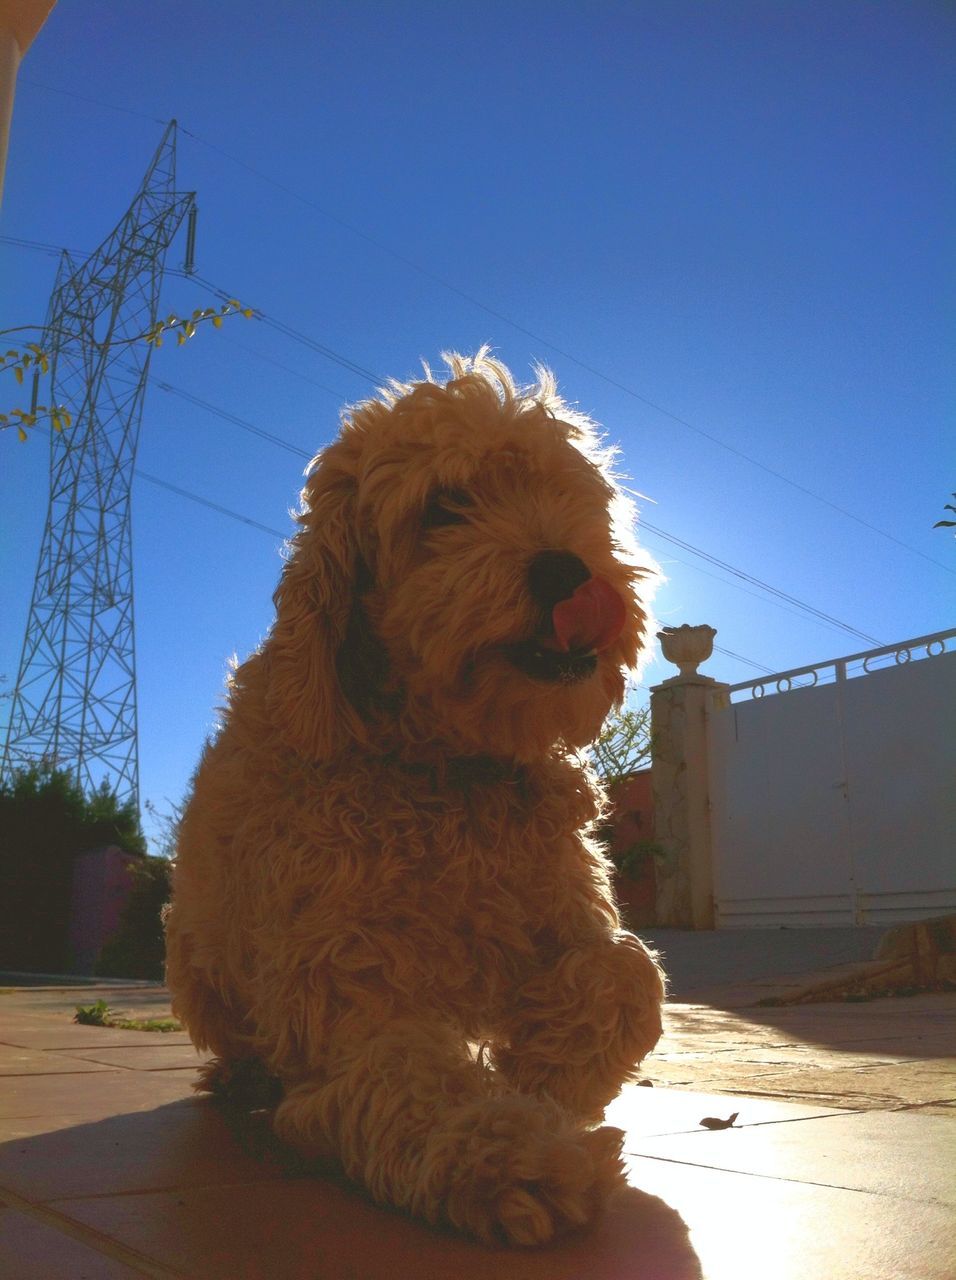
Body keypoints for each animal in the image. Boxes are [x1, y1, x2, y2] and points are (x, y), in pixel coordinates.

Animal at [165, 348, 665, 1239]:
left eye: (575, 497)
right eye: (444, 508)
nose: (566, 569)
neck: (447, 771)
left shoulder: (562, 898)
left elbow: (628, 973)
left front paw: (548, 1070)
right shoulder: (342, 987)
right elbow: (405, 1079)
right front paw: (513, 1151)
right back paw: (248, 1082)